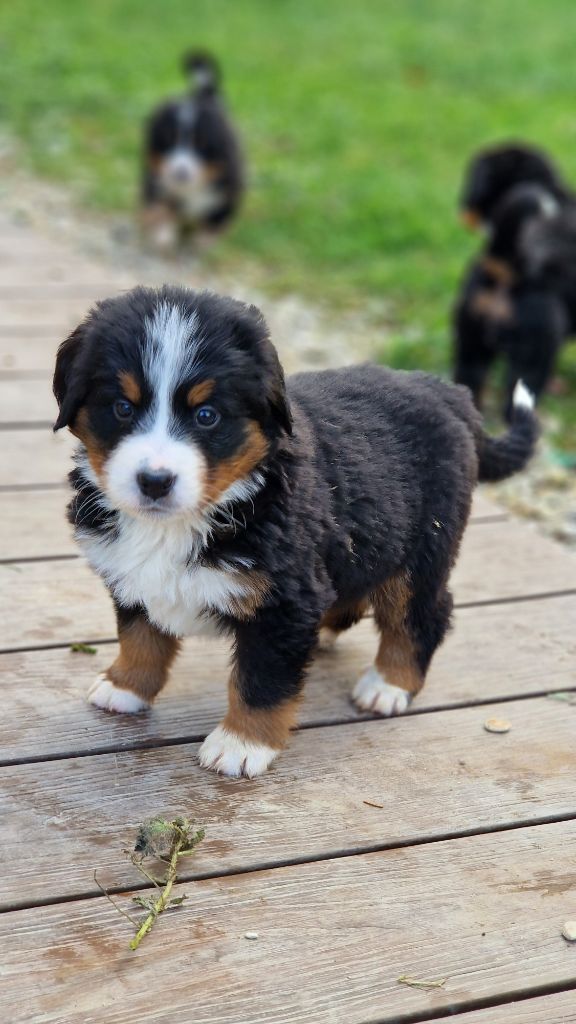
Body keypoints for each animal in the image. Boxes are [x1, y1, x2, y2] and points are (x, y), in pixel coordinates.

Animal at [53, 286, 538, 778]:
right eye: (122, 408)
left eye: (207, 415)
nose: (154, 481)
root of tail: (447, 391)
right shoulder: (132, 576)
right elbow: (140, 636)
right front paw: (125, 687)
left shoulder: (283, 600)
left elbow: (260, 681)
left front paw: (241, 744)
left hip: (422, 550)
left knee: (422, 614)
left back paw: (388, 685)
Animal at [141, 51, 244, 249]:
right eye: (169, 142)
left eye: (201, 145)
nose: (180, 173)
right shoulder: (157, 182)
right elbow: (162, 207)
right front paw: (163, 235)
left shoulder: (229, 190)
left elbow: (216, 219)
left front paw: (205, 240)